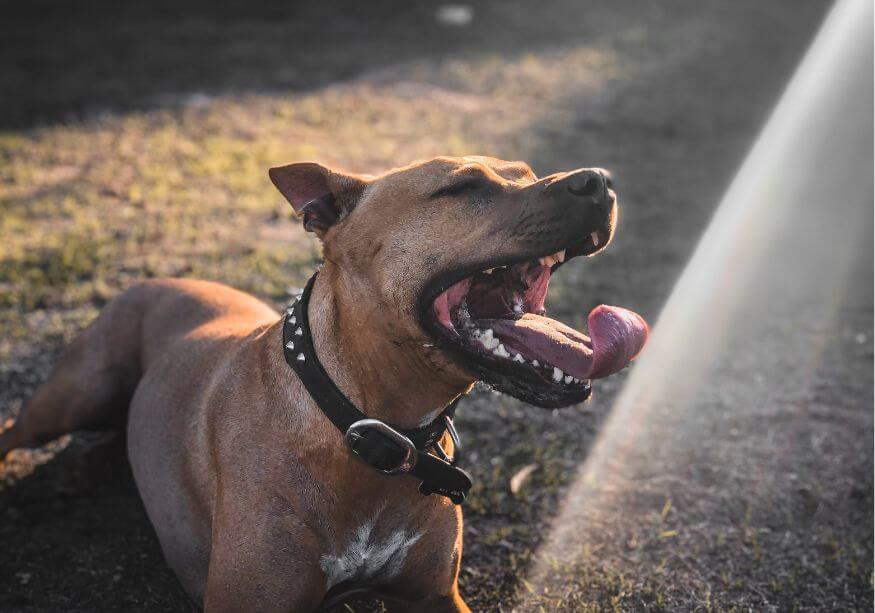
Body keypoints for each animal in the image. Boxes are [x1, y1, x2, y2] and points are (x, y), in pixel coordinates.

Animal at [0, 158, 644, 612]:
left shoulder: (437, 596)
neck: (367, 426)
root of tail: (157, 277)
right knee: (17, 428)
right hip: (75, 394)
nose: (600, 181)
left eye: (529, 174)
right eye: (462, 188)